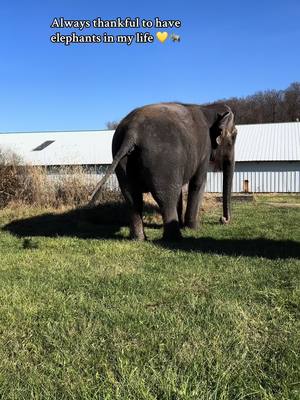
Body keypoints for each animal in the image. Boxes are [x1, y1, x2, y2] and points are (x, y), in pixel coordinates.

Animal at [89, 103, 237, 241]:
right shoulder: (204, 149)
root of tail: (132, 132)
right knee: (166, 197)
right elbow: (198, 183)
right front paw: (194, 229)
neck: (208, 108)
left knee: (132, 197)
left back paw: (139, 239)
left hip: (122, 158)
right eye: (235, 136)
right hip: (163, 160)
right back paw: (175, 238)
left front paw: (184, 225)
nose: (223, 219)